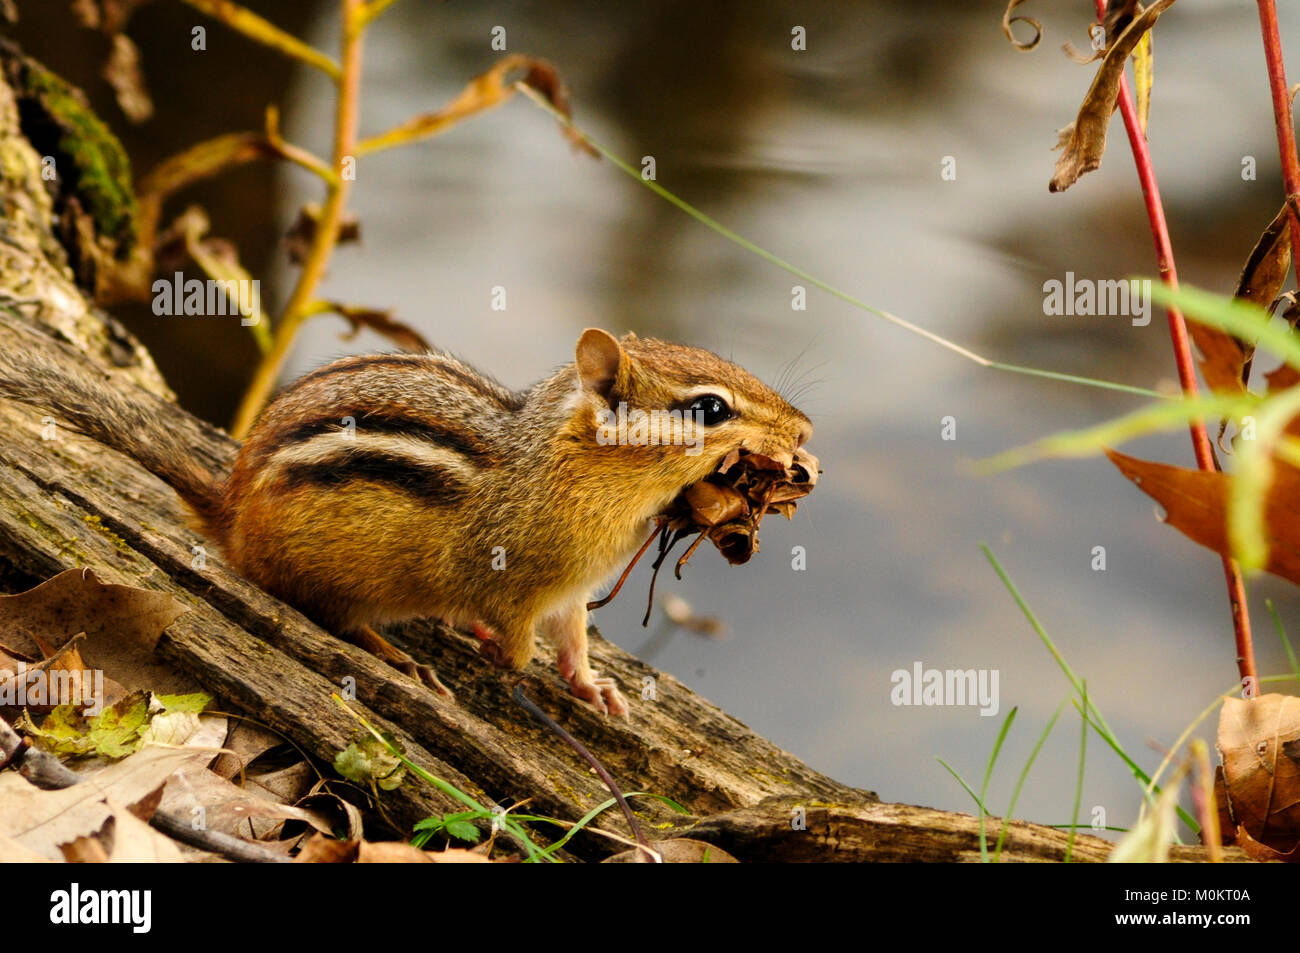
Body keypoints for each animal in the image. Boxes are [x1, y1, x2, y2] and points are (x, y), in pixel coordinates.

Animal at [0, 324, 813, 715]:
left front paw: (592, 688)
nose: (803, 428)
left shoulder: (571, 590)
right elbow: (518, 643)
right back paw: (399, 656)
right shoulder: (516, 580)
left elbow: (575, 642)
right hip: (336, 575)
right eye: (709, 409)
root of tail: (230, 512)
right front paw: (504, 656)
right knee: (327, 613)